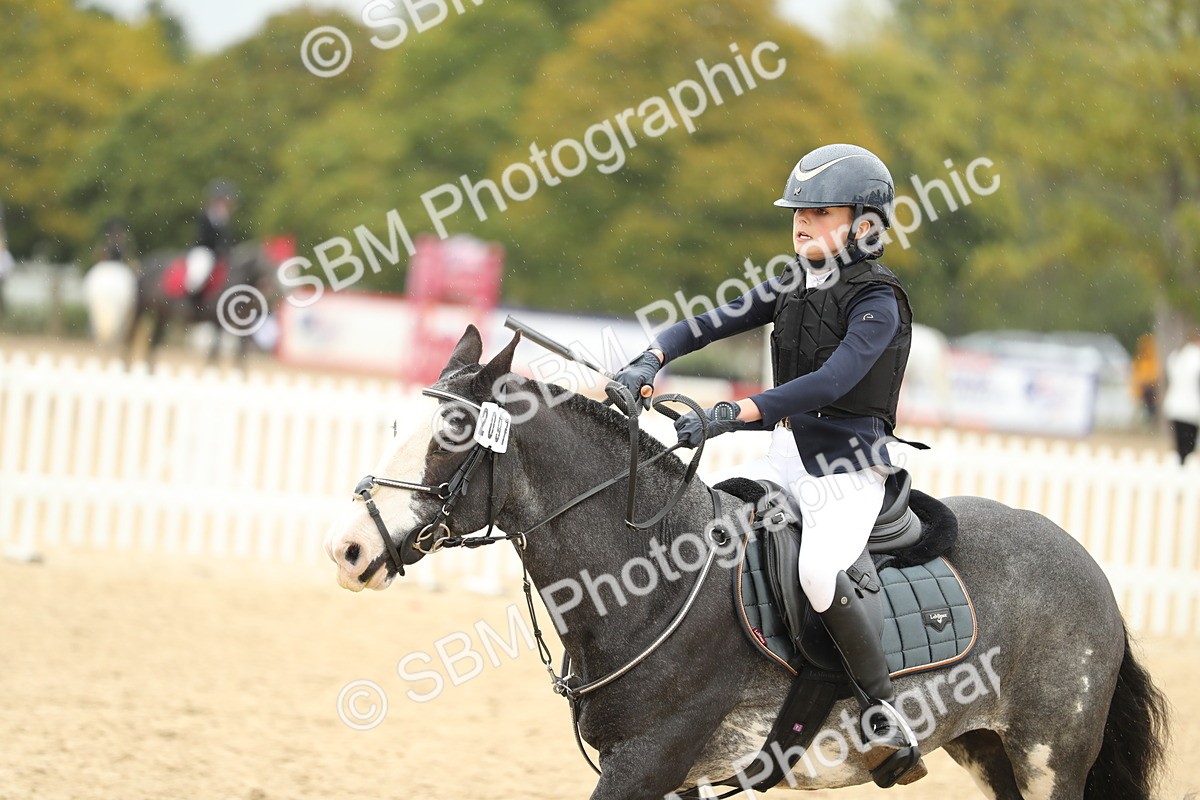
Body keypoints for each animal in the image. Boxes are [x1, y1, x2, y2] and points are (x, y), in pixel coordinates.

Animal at [125, 240, 280, 367]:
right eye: (266, 268)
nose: (273, 294)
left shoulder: (242, 326)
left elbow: (240, 355)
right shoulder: (217, 323)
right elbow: (214, 352)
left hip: (163, 314)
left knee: (154, 342)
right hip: (141, 308)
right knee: (132, 336)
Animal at [324, 326, 1169, 800]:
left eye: (451, 436)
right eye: (398, 424)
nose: (349, 550)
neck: (649, 581)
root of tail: (1089, 566)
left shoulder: (646, 763)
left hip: (1048, 758)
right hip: (989, 751)